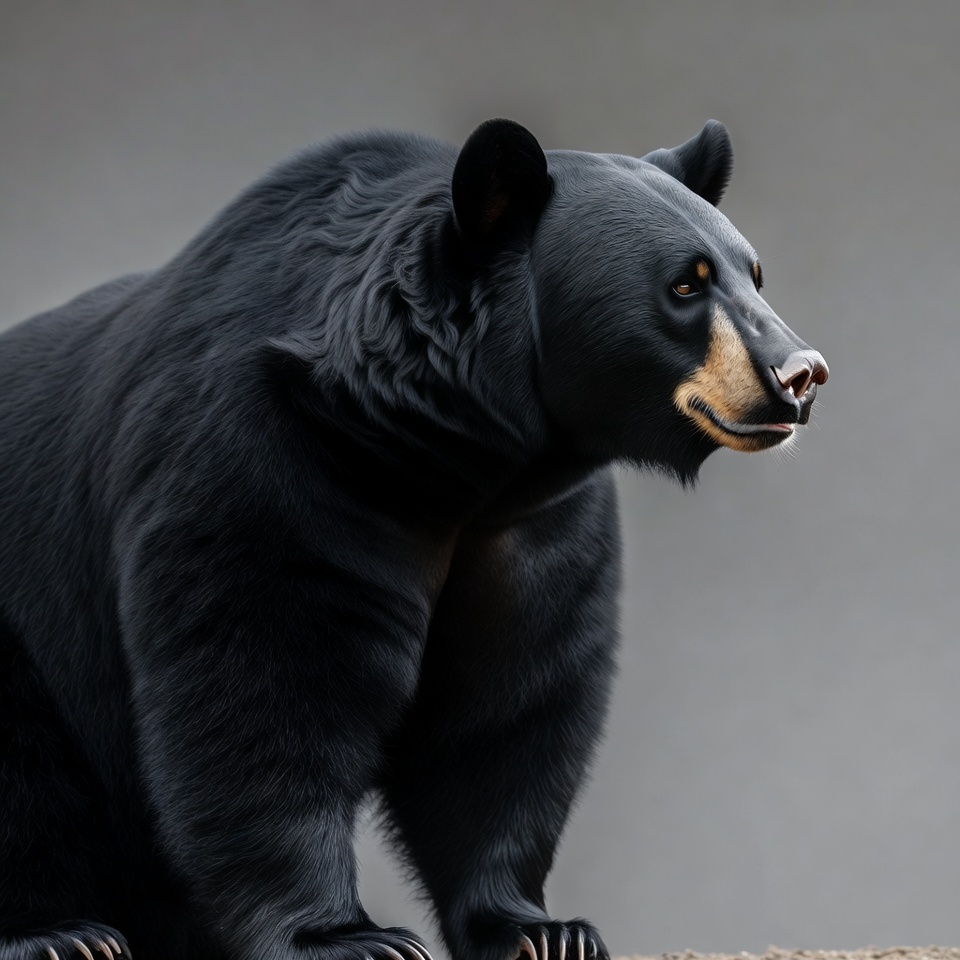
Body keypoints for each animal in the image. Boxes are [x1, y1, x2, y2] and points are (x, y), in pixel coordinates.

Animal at [0, 118, 827, 960]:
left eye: (754, 276)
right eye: (685, 285)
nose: (801, 374)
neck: (442, 452)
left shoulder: (533, 525)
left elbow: (506, 709)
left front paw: (540, 929)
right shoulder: (266, 468)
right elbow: (262, 684)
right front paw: (344, 936)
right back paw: (59, 932)